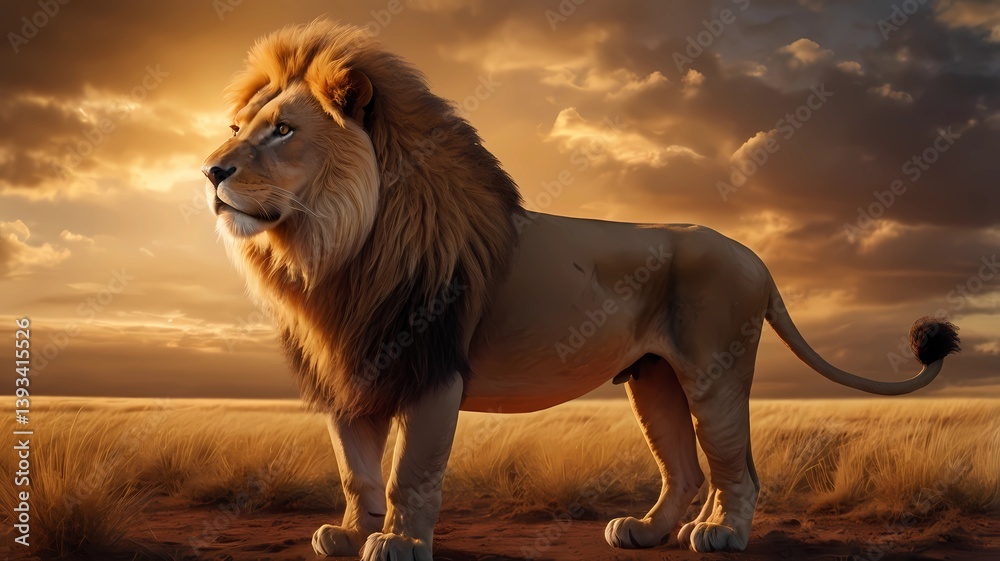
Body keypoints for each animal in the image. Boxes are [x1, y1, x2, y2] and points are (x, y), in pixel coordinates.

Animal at [201, 20, 961, 560]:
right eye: (237, 128)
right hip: (652, 378)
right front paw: (351, 534)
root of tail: (756, 256)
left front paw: (401, 542)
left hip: (714, 372)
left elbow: (408, 471)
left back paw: (723, 534)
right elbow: (356, 471)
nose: (210, 170)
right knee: (684, 469)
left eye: (283, 130)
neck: (333, 251)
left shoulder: (433, 370)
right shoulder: (351, 374)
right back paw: (646, 532)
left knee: (734, 465)